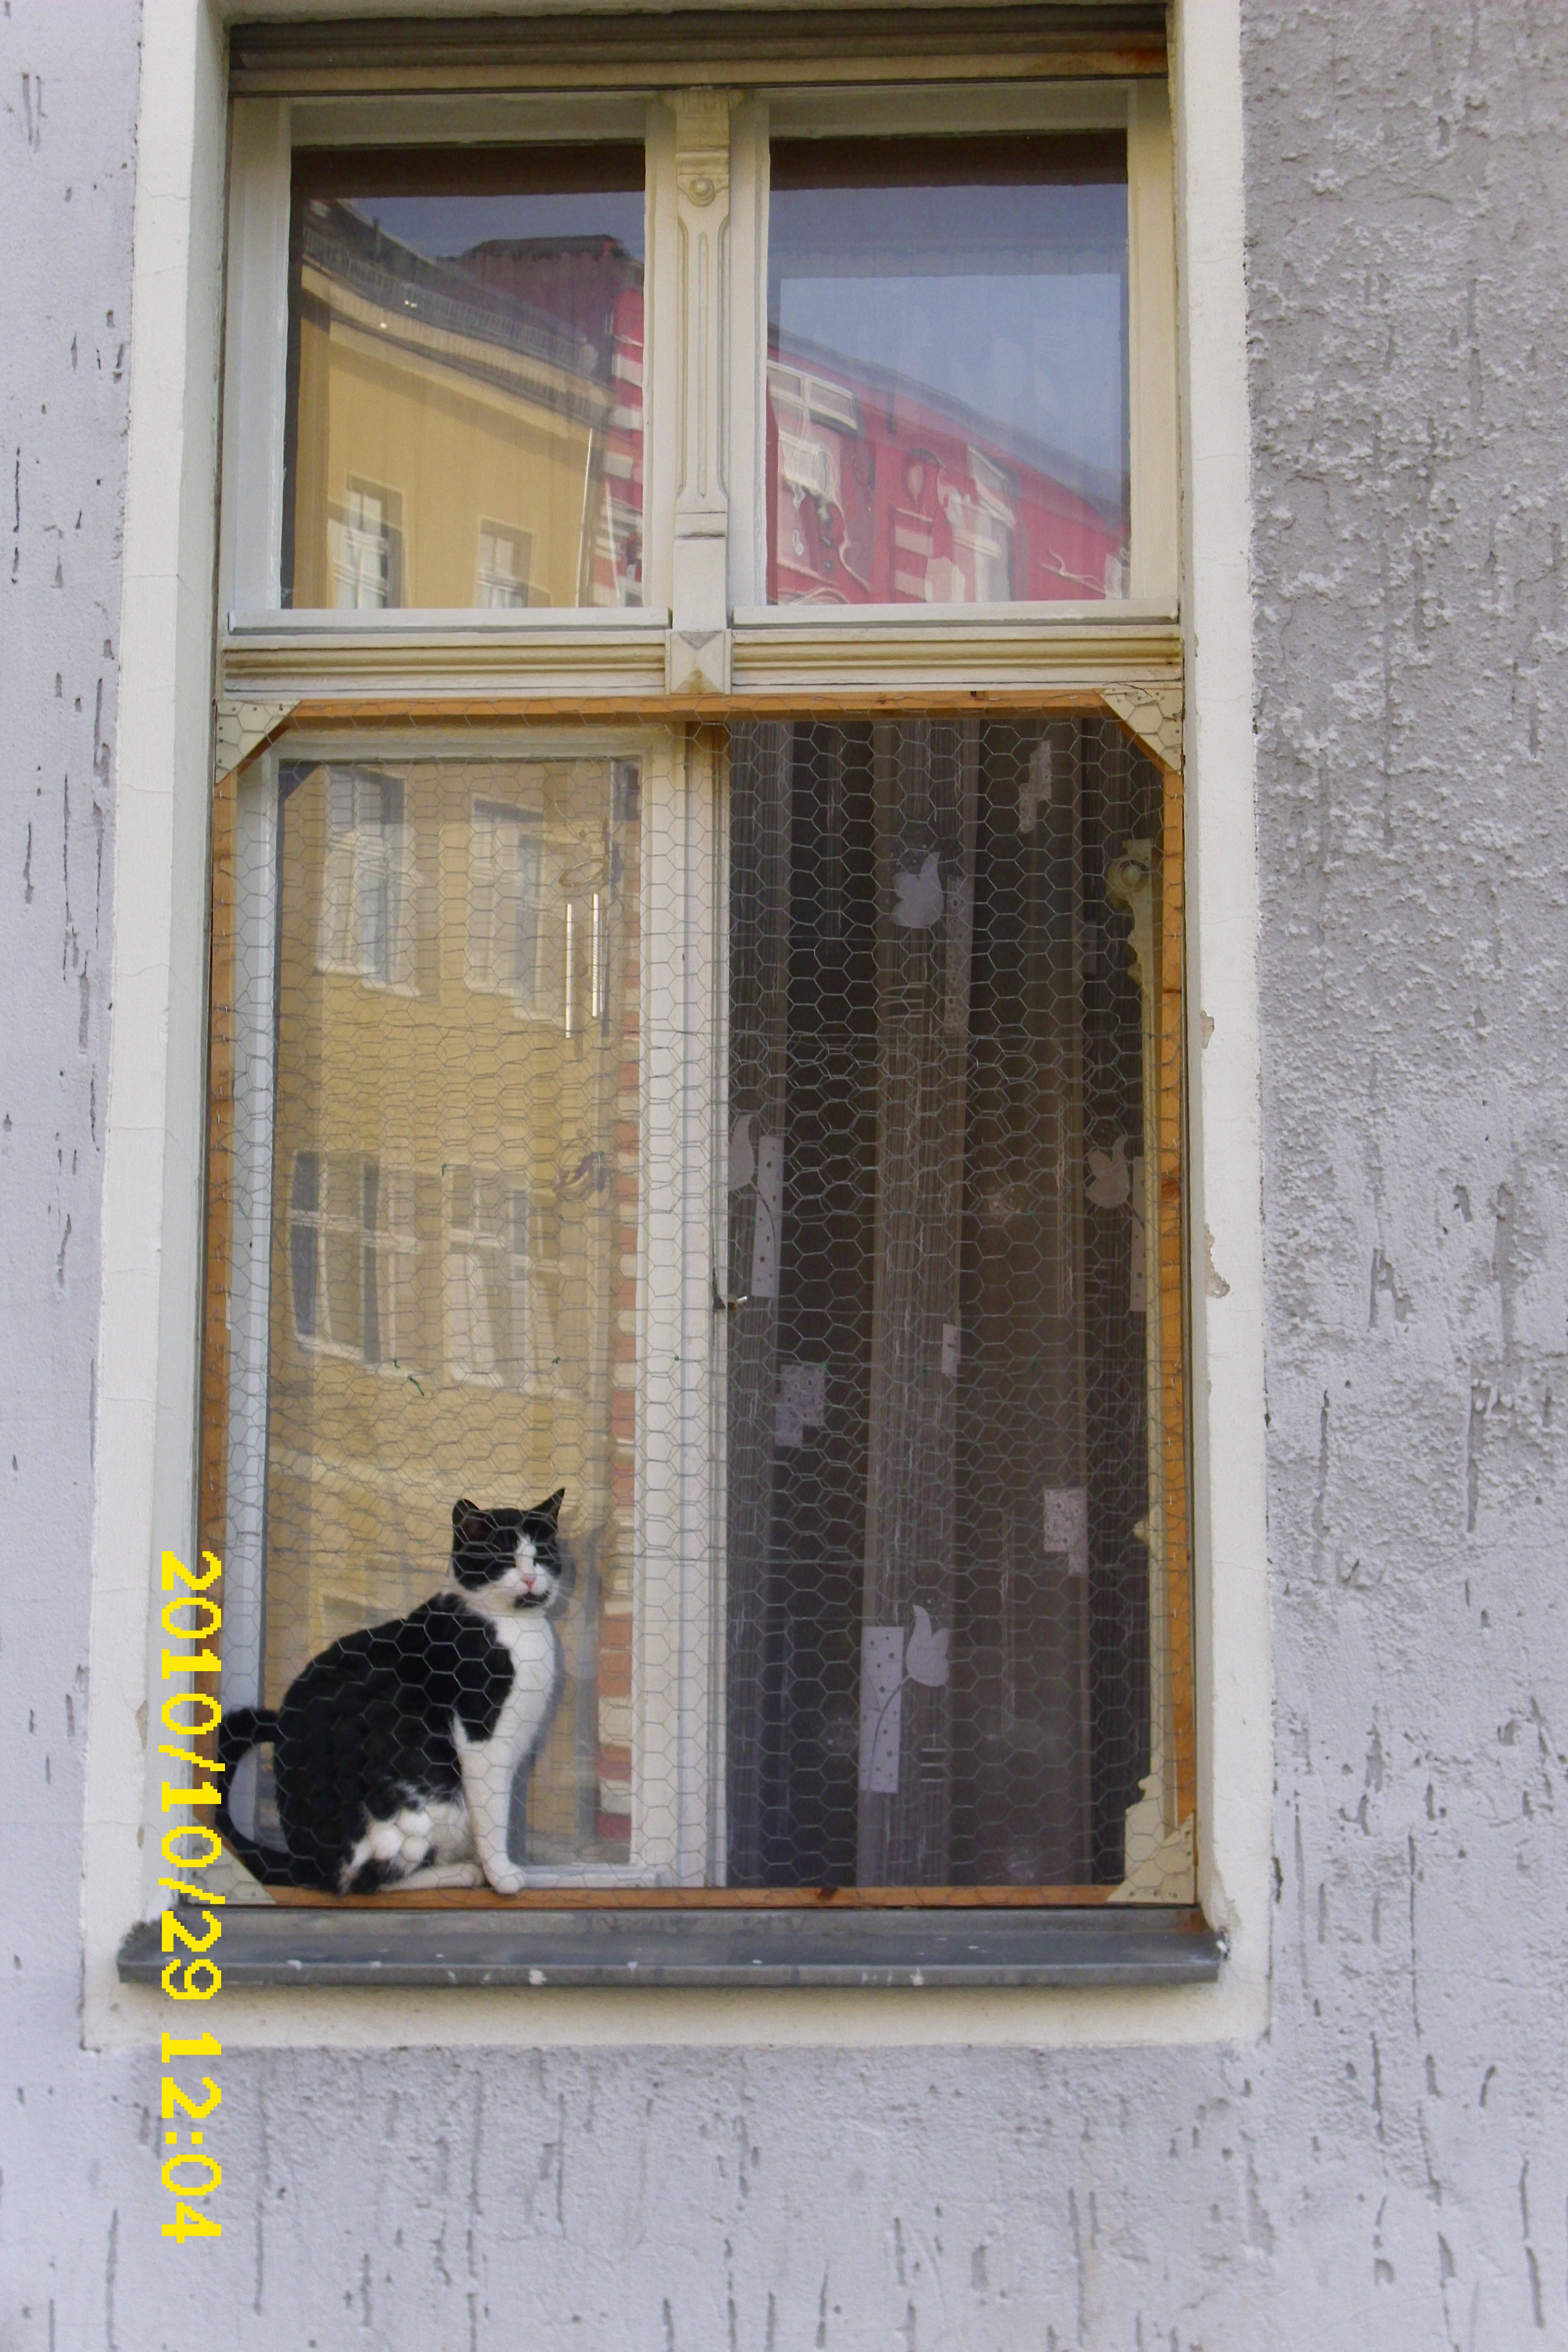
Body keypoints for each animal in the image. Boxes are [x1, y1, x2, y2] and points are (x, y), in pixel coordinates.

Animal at [212, 1496, 571, 1900]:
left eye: (540, 1555)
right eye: (502, 1556)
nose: (529, 1578)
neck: (517, 1629)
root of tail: (304, 1861)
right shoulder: (482, 1739)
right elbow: (492, 1812)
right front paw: (502, 1875)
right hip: (411, 1807)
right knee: (367, 1881)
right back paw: (463, 1872)